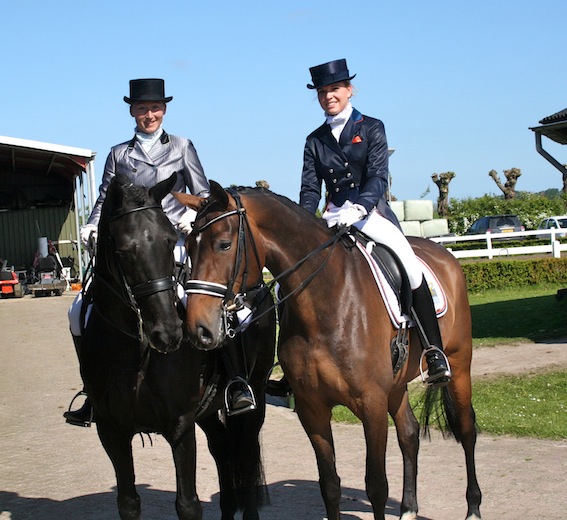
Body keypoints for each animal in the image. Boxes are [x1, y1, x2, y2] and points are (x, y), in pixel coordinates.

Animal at [77, 176, 278, 520]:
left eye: (170, 241)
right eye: (124, 250)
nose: (169, 333)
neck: (134, 353)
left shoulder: (180, 425)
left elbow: (188, 504)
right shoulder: (111, 430)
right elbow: (128, 503)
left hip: (256, 395)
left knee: (247, 455)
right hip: (207, 412)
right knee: (222, 449)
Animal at [174, 182, 484, 520]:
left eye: (224, 244)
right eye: (188, 247)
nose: (198, 328)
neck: (328, 300)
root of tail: (444, 254)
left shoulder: (372, 404)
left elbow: (376, 485)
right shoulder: (312, 409)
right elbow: (329, 484)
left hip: (459, 363)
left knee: (467, 429)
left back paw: (473, 509)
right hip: (397, 384)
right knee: (409, 433)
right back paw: (408, 509)